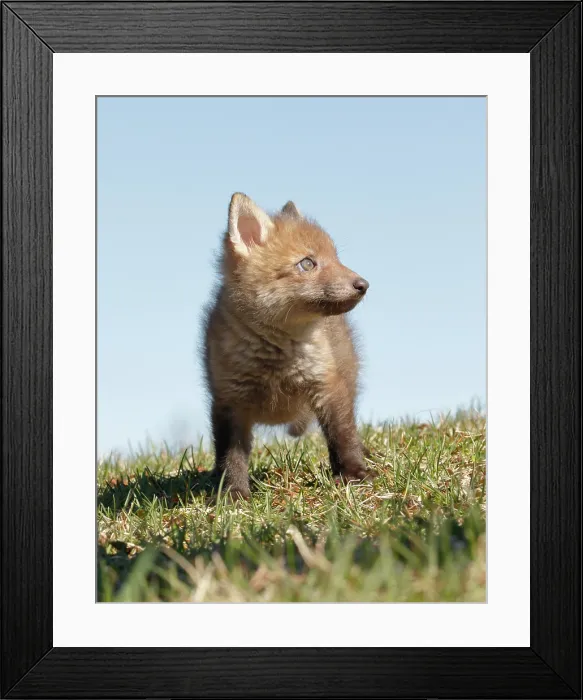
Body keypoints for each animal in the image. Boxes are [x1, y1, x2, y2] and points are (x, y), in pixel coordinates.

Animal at [203, 193, 371, 500]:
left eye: (336, 258)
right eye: (307, 263)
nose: (363, 284)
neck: (277, 357)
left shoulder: (327, 387)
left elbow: (342, 435)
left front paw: (354, 473)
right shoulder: (229, 400)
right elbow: (230, 456)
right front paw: (233, 493)